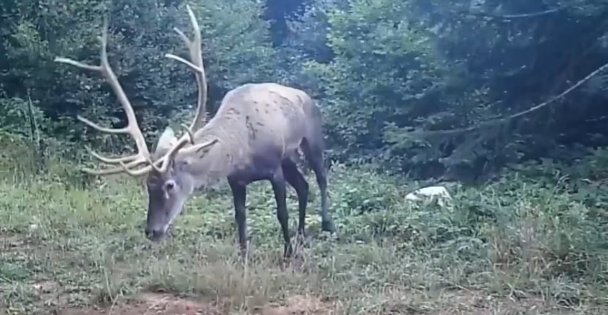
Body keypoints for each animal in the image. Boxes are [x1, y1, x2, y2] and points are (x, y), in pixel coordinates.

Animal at [54, 4, 334, 258]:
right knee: (303, 186)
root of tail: (306, 95)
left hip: (311, 137)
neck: (240, 150)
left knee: (320, 177)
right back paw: (302, 234)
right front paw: (243, 256)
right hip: (288, 157)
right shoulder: (236, 179)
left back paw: (325, 225)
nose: (152, 231)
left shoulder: (273, 167)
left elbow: (281, 212)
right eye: (147, 185)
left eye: (169, 185)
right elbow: (240, 217)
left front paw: (287, 253)